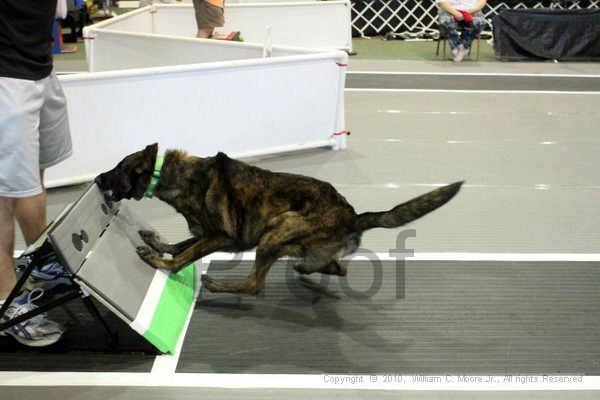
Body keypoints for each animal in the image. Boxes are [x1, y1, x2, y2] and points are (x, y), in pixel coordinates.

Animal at [96, 143, 464, 294]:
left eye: (118, 168)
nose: (98, 179)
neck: (176, 176)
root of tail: (353, 216)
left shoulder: (222, 236)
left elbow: (182, 256)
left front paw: (158, 260)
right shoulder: (205, 232)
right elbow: (181, 243)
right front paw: (157, 242)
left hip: (276, 230)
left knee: (255, 286)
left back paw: (219, 286)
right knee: (337, 267)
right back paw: (306, 269)